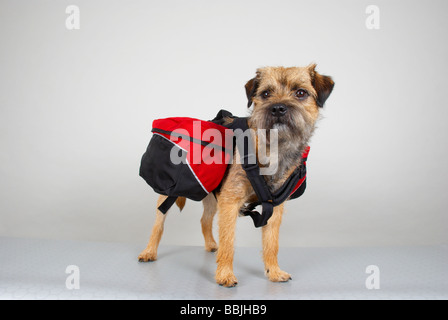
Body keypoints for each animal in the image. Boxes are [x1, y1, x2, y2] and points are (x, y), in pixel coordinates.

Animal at [138, 64, 334, 288]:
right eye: (265, 94)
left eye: (300, 93)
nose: (277, 108)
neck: (273, 147)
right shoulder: (230, 203)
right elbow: (228, 242)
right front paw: (225, 274)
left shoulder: (273, 207)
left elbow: (271, 243)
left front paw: (273, 271)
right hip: (168, 193)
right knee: (158, 223)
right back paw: (149, 251)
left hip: (212, 197)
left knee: (204, 220)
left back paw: (211, 244)